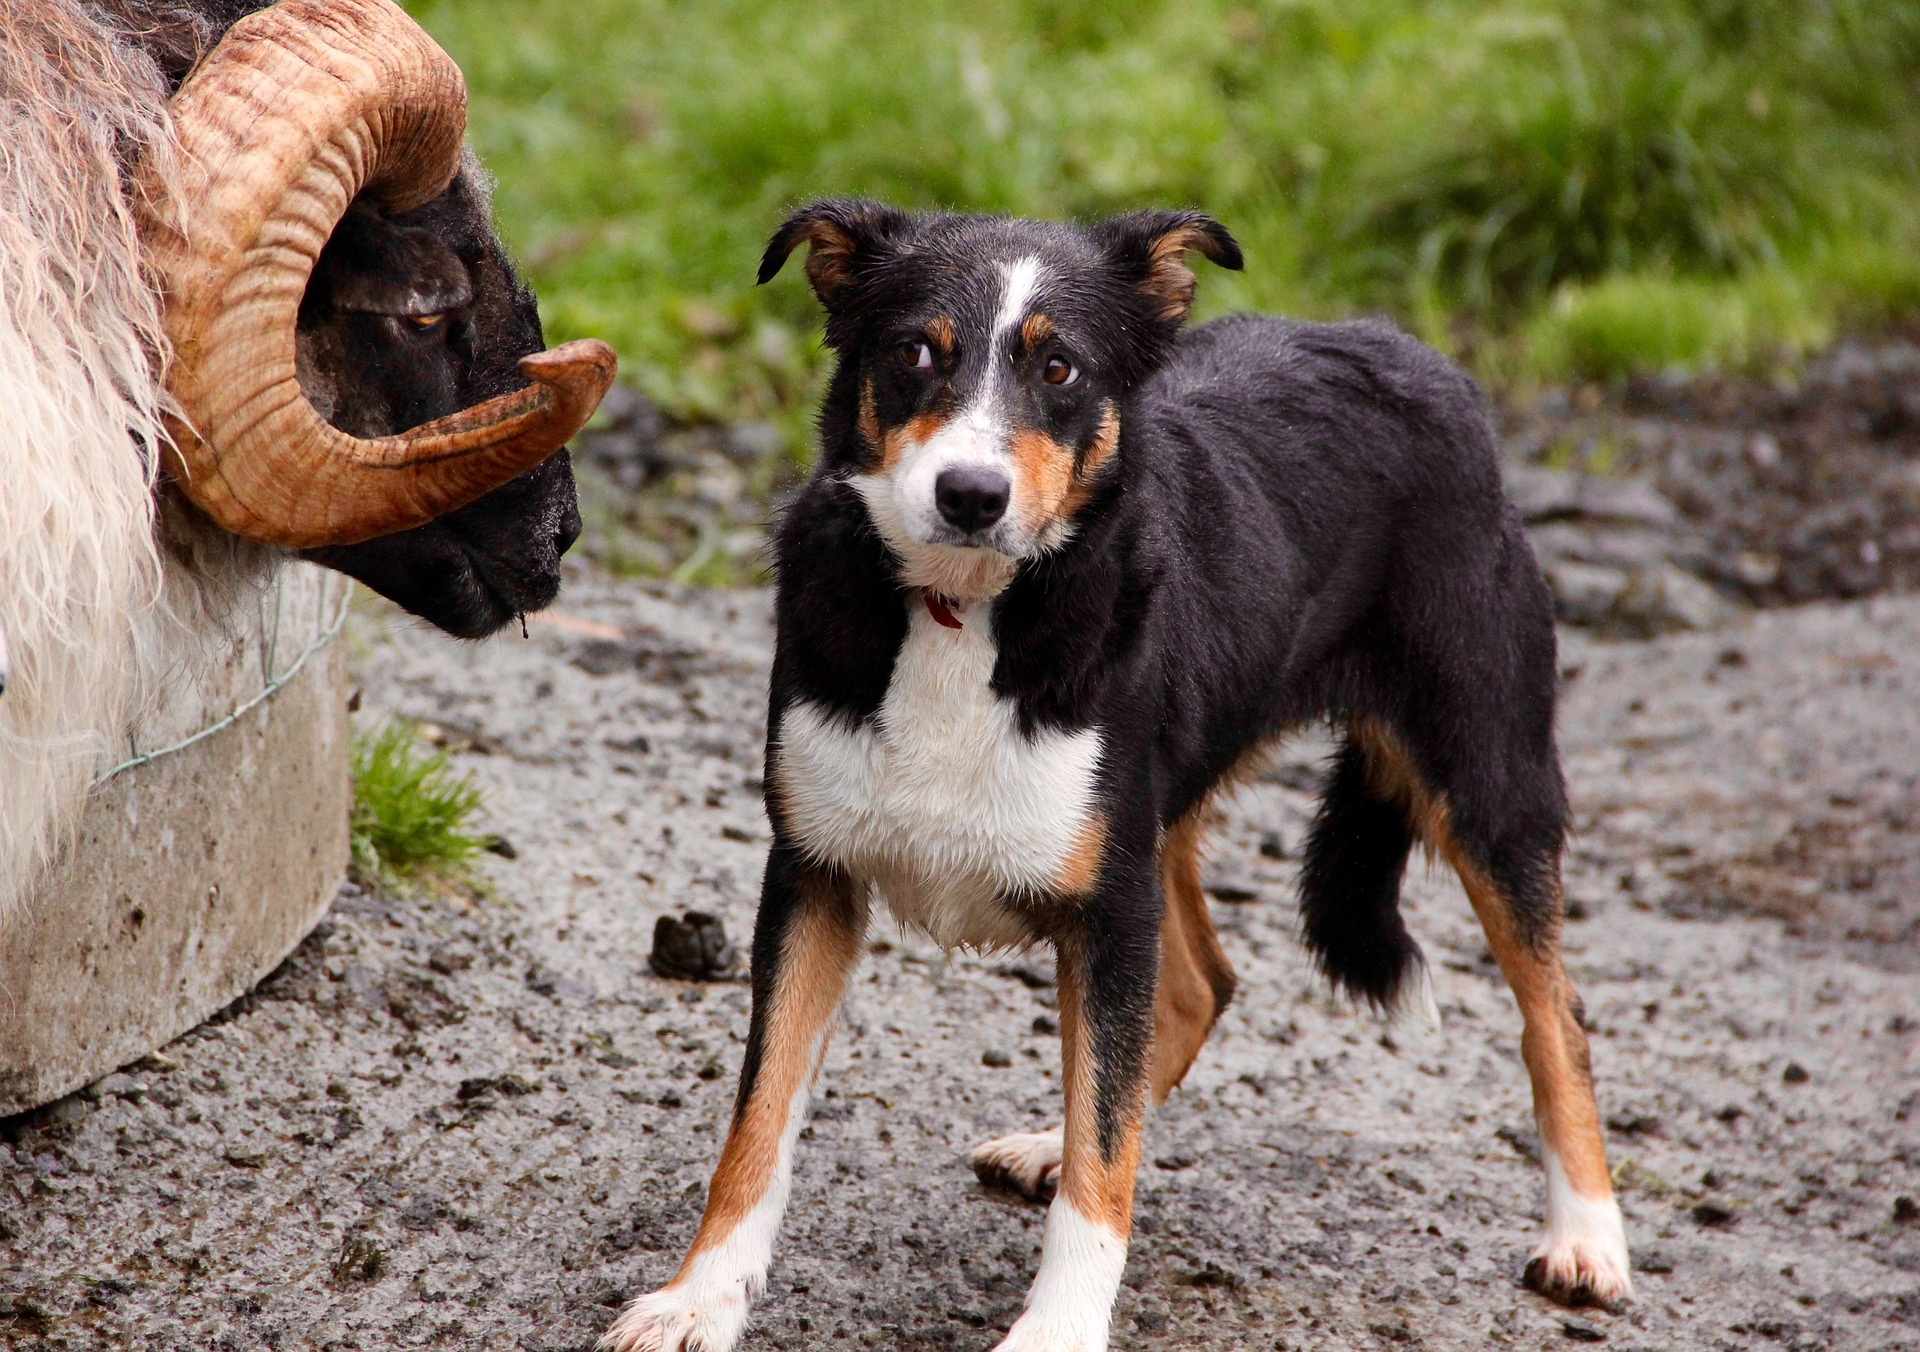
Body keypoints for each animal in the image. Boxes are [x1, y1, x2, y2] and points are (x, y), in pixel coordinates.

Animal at [606, 200, 1628, 1352]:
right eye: (915, 352)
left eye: (1060, 368)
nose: (971, 494)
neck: (965, 608)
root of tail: (1417, 358)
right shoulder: (814, 877)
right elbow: (759, 1121)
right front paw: (700, 1297)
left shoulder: (1106, 907)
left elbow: (1106, 1161)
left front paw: (1056, 1328)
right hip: (1157, 811)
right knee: (1196, 990)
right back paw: (1053, 1140)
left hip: (1483, 777)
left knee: (1556, 1016)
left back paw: (1589, 1239)